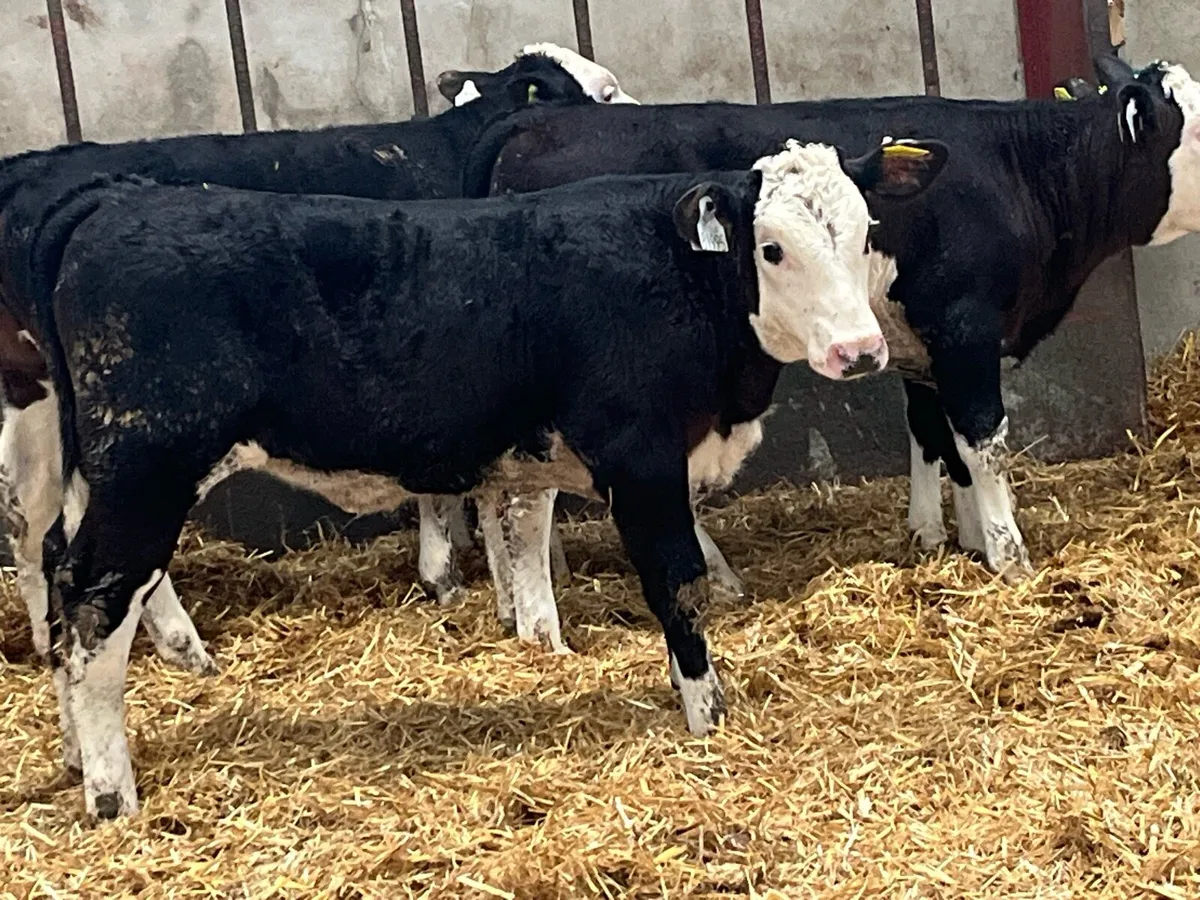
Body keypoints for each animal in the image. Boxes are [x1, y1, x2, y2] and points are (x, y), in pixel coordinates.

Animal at [0, 43, 634, 679]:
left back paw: (46, 641)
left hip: (39, 392)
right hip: (147, 428)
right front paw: (459, 577)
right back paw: (184, 646)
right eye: (604, 93)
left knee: (29, 510)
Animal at [0, 134, 946, 818]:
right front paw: (707, 718)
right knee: (93, 606)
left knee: (58, 579)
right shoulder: (641, 459)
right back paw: (112, 792)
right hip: (147, 467)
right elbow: (675, 585)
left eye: (866, 233)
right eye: (773, 249)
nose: (860, 351)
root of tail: (116, 195)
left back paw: (75, 756)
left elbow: (529, 548)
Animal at [456, 54, 1200, 648]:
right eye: (1195, 131)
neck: (1017, 172)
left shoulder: (916, 344)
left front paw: (943, 537)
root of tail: (532, 123)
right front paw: (1007, 555)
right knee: (532, 506)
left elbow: (934, 436)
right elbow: (981, 441)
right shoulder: (965, 328)